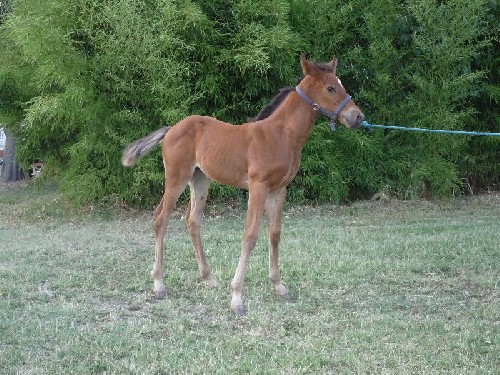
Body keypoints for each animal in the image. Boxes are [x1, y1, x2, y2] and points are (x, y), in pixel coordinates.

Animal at [121, 55, 364, 314]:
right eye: (330, 88)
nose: (357, 117)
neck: (280, 135)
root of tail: (171, 129)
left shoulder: (279, 190)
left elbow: (274, 234)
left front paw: (279, 286)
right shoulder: (258, 187)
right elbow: (250, 236)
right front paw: (236, 297)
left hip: (200, 179)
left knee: (193, 221)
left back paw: (209, 278)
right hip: (177, 177)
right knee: (161, 218)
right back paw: (159, 283)